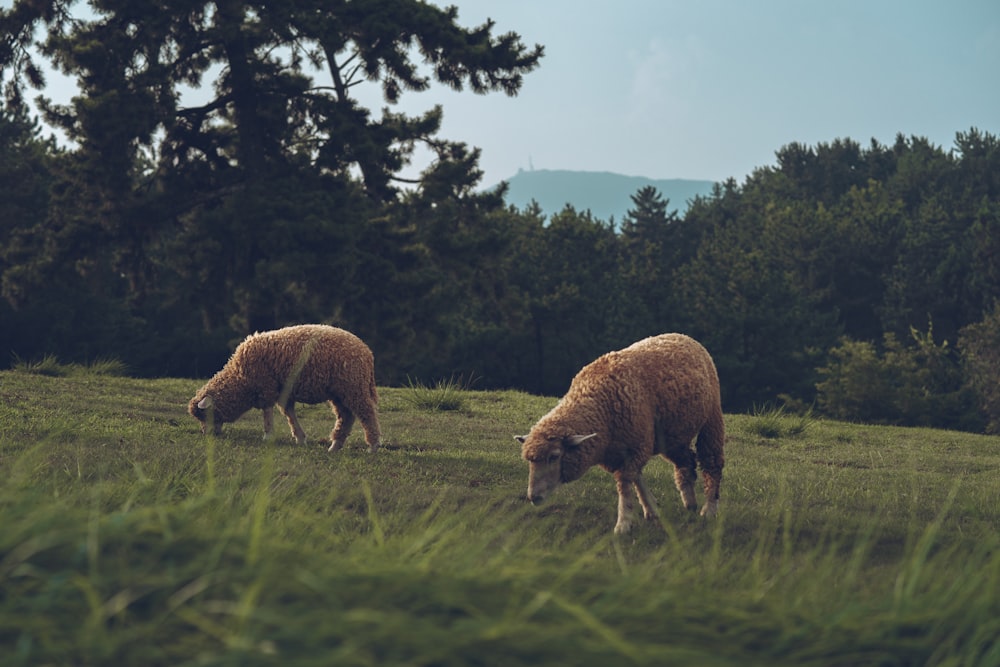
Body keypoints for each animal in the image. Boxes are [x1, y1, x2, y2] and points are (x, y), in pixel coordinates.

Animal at [188, 324, 378, 454]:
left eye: (205, 414)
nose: (207, 434)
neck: (240, 378)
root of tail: (367, 353)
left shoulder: (266, 386)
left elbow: (267, 412)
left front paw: (268, 436)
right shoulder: (283, 392)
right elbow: (289, 414)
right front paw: (300, 438)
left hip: (353, 386)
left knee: (366, 414)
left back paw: (373, 446)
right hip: (340, 392)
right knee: (346, 416)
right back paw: (335, 446)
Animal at [520, 336, 724, 536]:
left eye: (554, 456)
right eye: (530, 461)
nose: (533, 497)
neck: (599, 407)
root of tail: (684, 337)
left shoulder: (636, 445)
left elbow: (625, 483)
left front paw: (624, 522)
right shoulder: (622, 450)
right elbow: (637, 479)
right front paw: (651, 509)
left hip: (711, 418)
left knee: (712, 462)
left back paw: (709, 508)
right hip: (673, 435)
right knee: (686, 461)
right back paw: (690, 502)